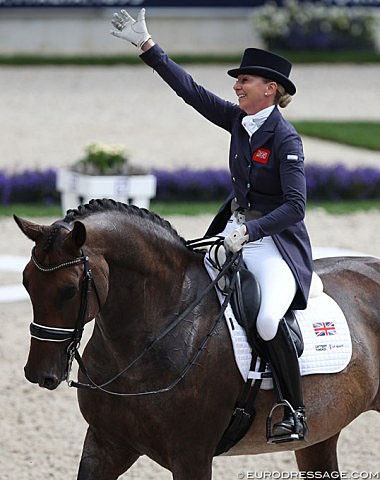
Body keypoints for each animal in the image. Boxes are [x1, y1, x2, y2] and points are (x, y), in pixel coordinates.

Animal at [14, 200, 380, 480]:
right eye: (26, 282)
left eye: (69, 290)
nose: (38, 373)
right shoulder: (106, 444)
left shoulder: (191, 455)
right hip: (320, 434)